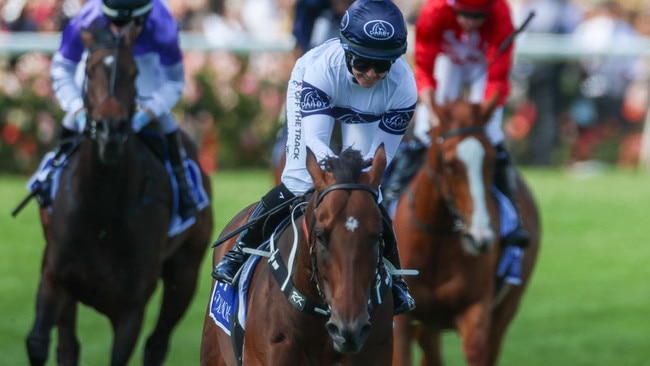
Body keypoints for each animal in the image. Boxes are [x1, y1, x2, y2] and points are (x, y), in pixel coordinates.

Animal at [26, 24, 213, 364]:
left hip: (186, 271)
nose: (110, 130)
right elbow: (38, 342)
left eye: (133, 71)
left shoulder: (131, 309)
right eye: (88, 69)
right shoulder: (54, 278)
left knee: (157, 344)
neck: (100, 214)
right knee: (68, 347)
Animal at [390, 98, 540, 366]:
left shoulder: (476, 309)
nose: (480, 237)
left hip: (505, 309)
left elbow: (476, 349)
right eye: (450, 164)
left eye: (492, 160)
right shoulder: (404, 321)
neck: (435, 240)